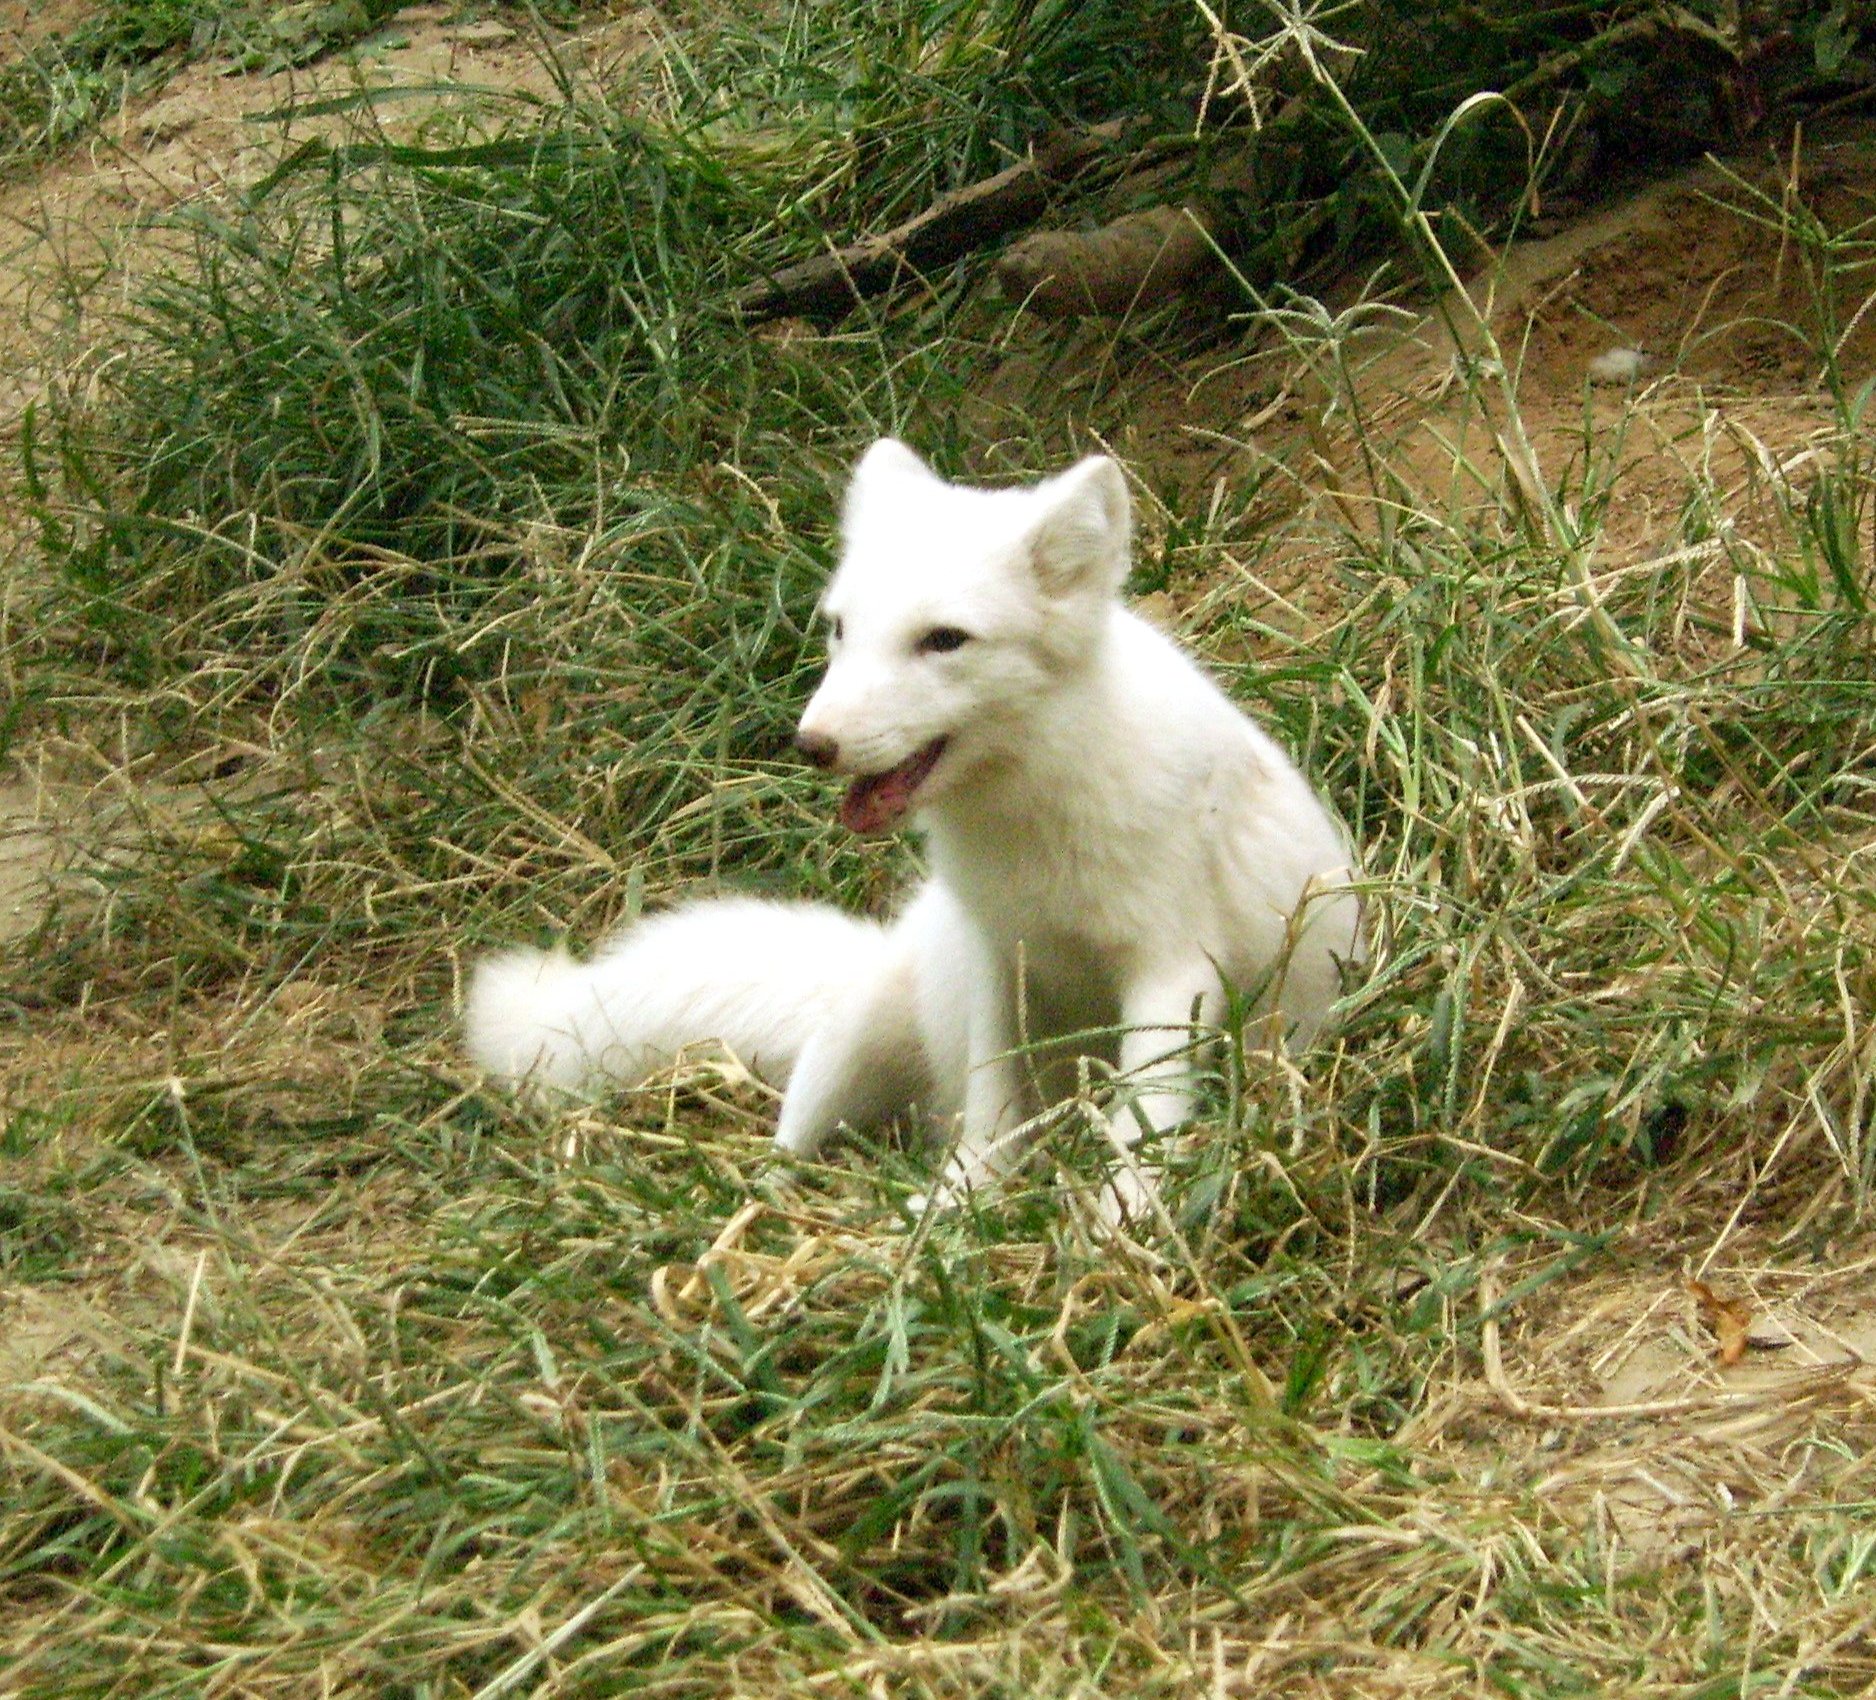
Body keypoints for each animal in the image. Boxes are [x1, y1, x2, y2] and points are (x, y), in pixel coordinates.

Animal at [461, 437, 1358, 1208]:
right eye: (839, 629)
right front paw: (960, 1210)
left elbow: (1145, 1118)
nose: (812, 745)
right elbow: (995, 1107)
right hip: (854, 1040)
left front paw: (1124, 1222)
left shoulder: (1171, 969)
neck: (1031, 815)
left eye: (944, 641)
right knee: (794, 1145)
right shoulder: (1002, 957)